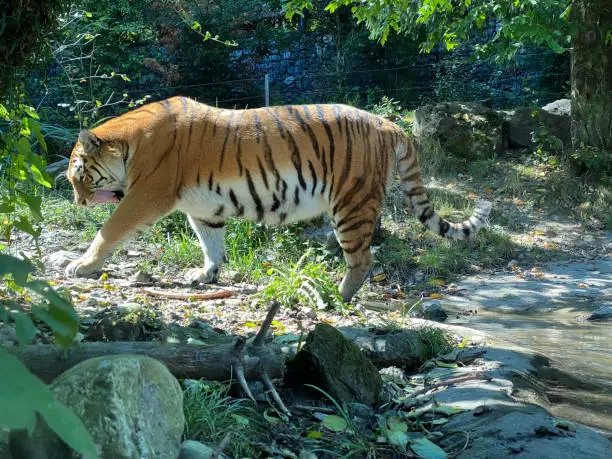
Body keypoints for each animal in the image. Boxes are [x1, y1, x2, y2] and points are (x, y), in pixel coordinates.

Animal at [64, 95, 490, 304]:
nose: (78, 204)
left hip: (351, 203)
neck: (130, 144)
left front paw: (81, 265)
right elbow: (210, 242)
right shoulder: (203, 208)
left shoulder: (145, 196)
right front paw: (206, 275)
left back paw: (336, 298)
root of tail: (388, 124)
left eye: (79, 177)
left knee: (363, 260)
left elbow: (109, 230)